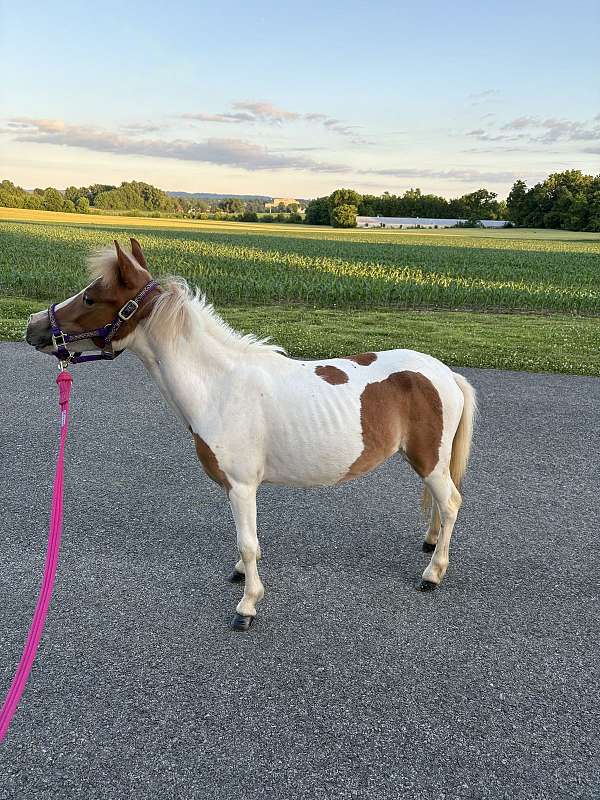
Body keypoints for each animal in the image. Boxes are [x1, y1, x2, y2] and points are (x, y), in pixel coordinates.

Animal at [26, 238, 477, 631]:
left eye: (90, 297)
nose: (33, 327)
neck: (219, 385)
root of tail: (446, 374)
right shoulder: (235, 487)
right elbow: (244, 542)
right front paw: (241, 575)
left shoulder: (242, 485)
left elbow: (248, 542)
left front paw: (247, 605)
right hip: (429, 462)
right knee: (440, 506)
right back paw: (430, 543)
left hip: (429, 460)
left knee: (452, 503)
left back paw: (433, 572)